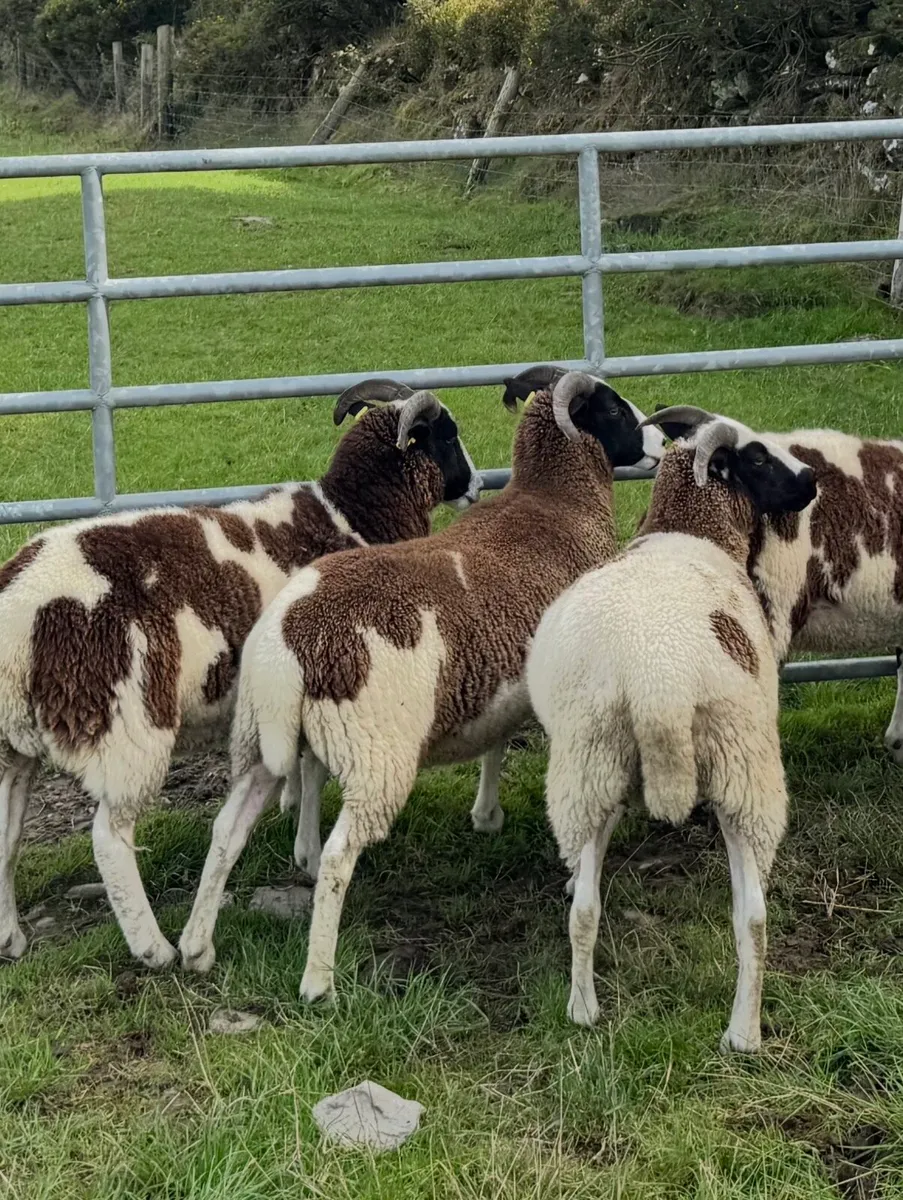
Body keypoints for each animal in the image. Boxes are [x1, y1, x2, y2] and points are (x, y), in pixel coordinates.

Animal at [0, 381, 481, 967]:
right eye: (448, 436)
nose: (475, 486)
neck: (351, 516)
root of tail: (16, 609)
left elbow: (303, 765)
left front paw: (293, 812)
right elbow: (315, 770)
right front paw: (308, 850)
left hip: (15, 741)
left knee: (6, 834)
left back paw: (11, 936)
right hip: (125, 720)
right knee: (110, 837)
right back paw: (155, 948)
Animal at [177, 366, 666, 994]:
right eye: (611, 409)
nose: (660, 442)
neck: (555, 501)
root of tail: (292, 640)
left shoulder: (505, 674)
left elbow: (497, 739)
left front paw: (487, 816)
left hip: (262, 739)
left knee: (226, 833)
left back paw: (195, 946)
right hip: (376, 754)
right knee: (337, 855)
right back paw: (318, 979)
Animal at [525, 405, 817, 1053]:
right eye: (756, 456)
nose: (812, 479)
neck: (691, 528)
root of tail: (657, 680)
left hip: (599, 767)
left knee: (592, 910)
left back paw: (590, 1009)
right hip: (737, 773)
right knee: (750, 915)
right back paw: (740, 1031)